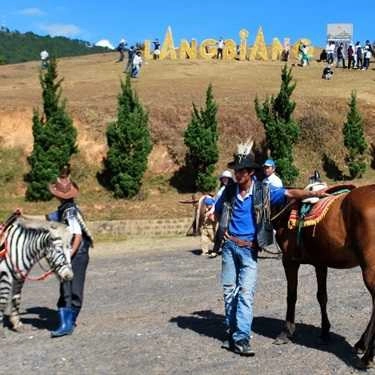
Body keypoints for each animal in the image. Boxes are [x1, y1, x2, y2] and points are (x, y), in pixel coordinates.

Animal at [272, 186, 375, 370]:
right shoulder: (320, 263)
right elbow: (322, 296)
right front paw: (325, 331)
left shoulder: (289, 261)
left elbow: (291, 296)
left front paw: (287, 331)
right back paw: (361, 344)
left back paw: (367, 356)